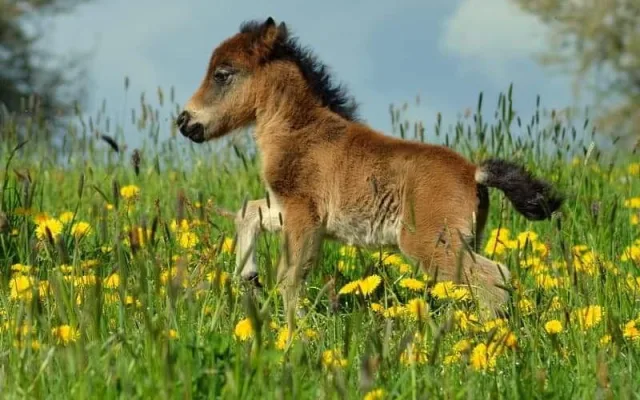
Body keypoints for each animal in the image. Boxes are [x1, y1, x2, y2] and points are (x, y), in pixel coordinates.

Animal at [176, 17, 563, 339]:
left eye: (222, 74)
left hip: (430, 244)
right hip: (464, 239)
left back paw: (485, 337)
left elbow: (290, 276)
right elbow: (247, 214)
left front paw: (295, 331)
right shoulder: (288, 208)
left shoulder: (304, 215)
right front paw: (248, 276)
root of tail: (473, 172)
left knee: (493, 278)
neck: (300, 131)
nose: (184, 121)